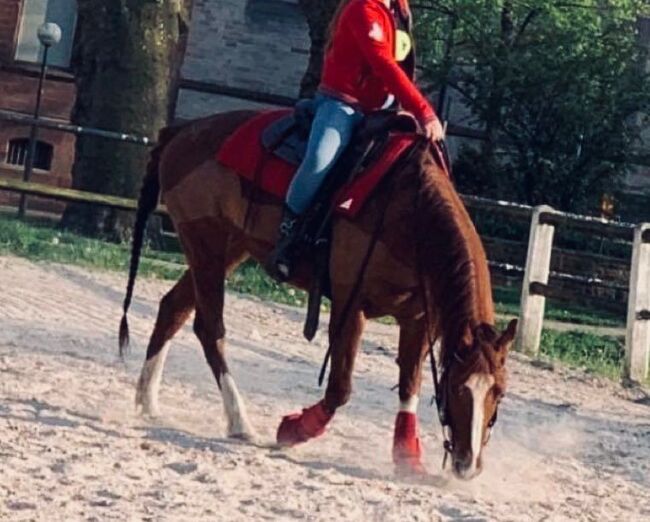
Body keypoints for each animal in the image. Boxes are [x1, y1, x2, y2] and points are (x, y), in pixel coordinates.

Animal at [119, 110, 516, 480]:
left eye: (498, 392)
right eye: (458, 388)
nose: (468, 465)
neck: (409, 215)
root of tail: (180, 131)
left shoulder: (417, 318)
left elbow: (409, 386)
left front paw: (407, 458)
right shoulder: (350, 304)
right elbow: (341, 387)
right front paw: (293, 429)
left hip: (227, 249)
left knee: (173, 308)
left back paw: (147, 400)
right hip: (204, 243)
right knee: (210, 329)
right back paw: (240, 423)